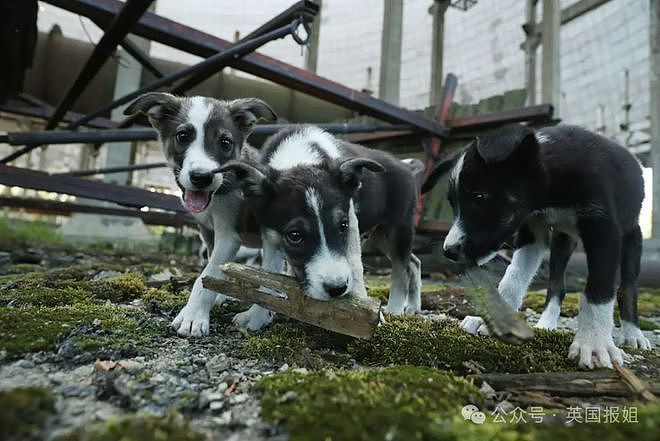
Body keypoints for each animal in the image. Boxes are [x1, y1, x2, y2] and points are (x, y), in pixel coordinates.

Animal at [124, 92, 278, 334]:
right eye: (182, 136)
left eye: (225, 142)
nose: (202, 177)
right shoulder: (208, 231)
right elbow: (214, 269)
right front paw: (217, 296)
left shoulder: (229, 235)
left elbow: (207, 274)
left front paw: (193, 316)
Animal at [219, 125, 420, 328]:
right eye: (295, 235)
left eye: (342, 226)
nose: (337, 289)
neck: (298, 157)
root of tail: (405, 166)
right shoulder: (270, 233)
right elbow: (269, 270)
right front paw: (258, 315)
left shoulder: (352, 223)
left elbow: (356, 266)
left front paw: (365, 312)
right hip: (380, 236)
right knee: (413, 263)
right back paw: (412, 306)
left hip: (398, 228)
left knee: (401, 270)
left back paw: (395, 309)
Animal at [422, 123, 648, 368]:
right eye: (453, 203)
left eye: (479, 196)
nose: (449, 251)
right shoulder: (532, 231)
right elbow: (513, 278)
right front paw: (496, 320)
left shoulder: (604, 231)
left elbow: (598, 289)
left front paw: (594, 343)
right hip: (562, 239)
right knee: (557, 285)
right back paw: (547, 324)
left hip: (632, 236)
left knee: (627, 287)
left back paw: (633, 334)